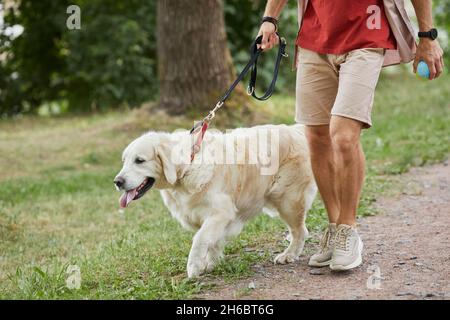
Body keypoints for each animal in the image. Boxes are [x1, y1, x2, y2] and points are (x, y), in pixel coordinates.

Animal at [115, 124, 316, 276]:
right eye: (124, 161)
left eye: (139, 160)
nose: (117, 182)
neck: (188, 167)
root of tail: (297, 129)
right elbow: (214, 241)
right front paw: (211, 263)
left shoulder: (220, 213)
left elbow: (200, 239)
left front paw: (194, 267)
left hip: (287, 201)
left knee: (300, 231)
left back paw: (288, 254)